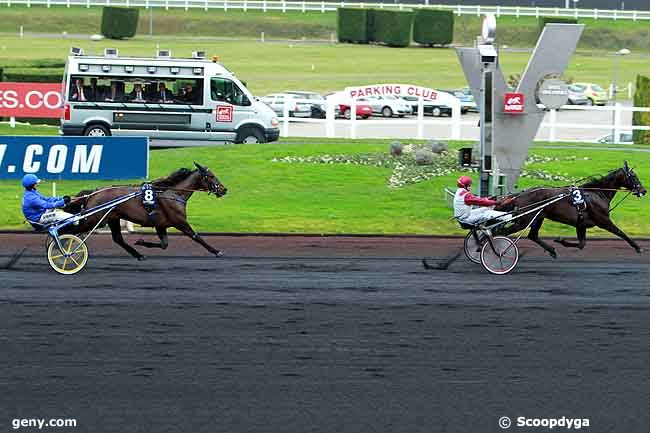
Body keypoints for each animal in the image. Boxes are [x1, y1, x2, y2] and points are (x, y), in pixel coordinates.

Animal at [63, 162, 225, 260]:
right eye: (211, 176)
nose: (224, 189)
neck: (173, 194)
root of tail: (93, 193)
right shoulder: (180, 221)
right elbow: (196, 236)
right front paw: (216, 251)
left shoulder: (160, 225)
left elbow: (164, 245)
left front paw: (141, 242)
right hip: (95, 219)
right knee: (69, 228)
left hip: (112, 218)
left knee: (118, 238)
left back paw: (139, 255)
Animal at [496, 161, 644, 256]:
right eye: (634, 176)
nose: (644, 190)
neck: (597, 193)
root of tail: (518, 195)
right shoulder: (603, 221)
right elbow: (621, 233)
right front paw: (638, 247)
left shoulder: (581, 224)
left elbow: (581, 244)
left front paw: (560, 240)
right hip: (524, 220)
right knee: (502, 232)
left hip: (537, 218)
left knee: (532, 235)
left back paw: (551, 250)